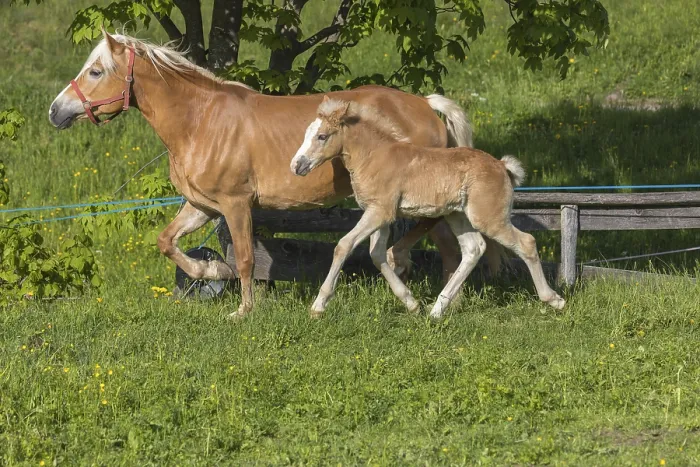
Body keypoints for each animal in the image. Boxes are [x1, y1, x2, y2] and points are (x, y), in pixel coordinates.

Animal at [49, 30, 477, 319]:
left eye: (96, 71)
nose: (55, 111)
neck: (201, 122)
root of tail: (424, 104)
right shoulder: (202, 206)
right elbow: (167, 241)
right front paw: (209, 270)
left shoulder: (236, 204)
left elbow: (244, 260)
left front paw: (242, 311)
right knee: (445, 247)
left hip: (420, 198)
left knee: (441, 243)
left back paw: (428, 290)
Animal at [290, 97, 566, 318]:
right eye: (305, 134)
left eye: (322, 136)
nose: (296, 166)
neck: (374, 156)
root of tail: (501, 166)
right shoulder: (379, 213)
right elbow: (378, 254)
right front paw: (412, 304)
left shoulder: (380, 212)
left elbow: (344, 246)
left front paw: (318, 306)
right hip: (457, 216)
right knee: (474, 249)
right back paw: (436, 310)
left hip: (488, 218)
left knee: (526, 242)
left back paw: (554, 300)